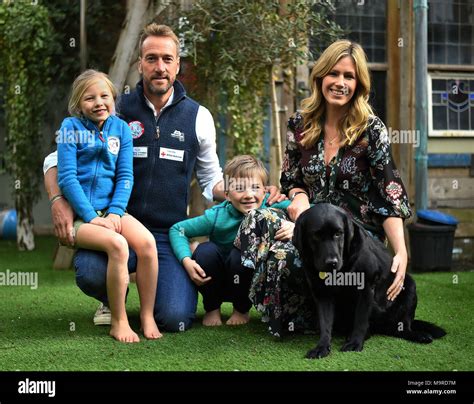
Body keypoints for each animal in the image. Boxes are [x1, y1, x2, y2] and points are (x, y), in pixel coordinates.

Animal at [292, 204, 444, 358]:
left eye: (338, 233)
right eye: (316, 235)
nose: (332, 262)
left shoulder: (366, 289)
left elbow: (360, 319)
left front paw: (355, 343)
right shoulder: (322, 294)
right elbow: (325, 323)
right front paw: (322, 347)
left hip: (409, 287)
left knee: (401, 328)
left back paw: (419, 335)